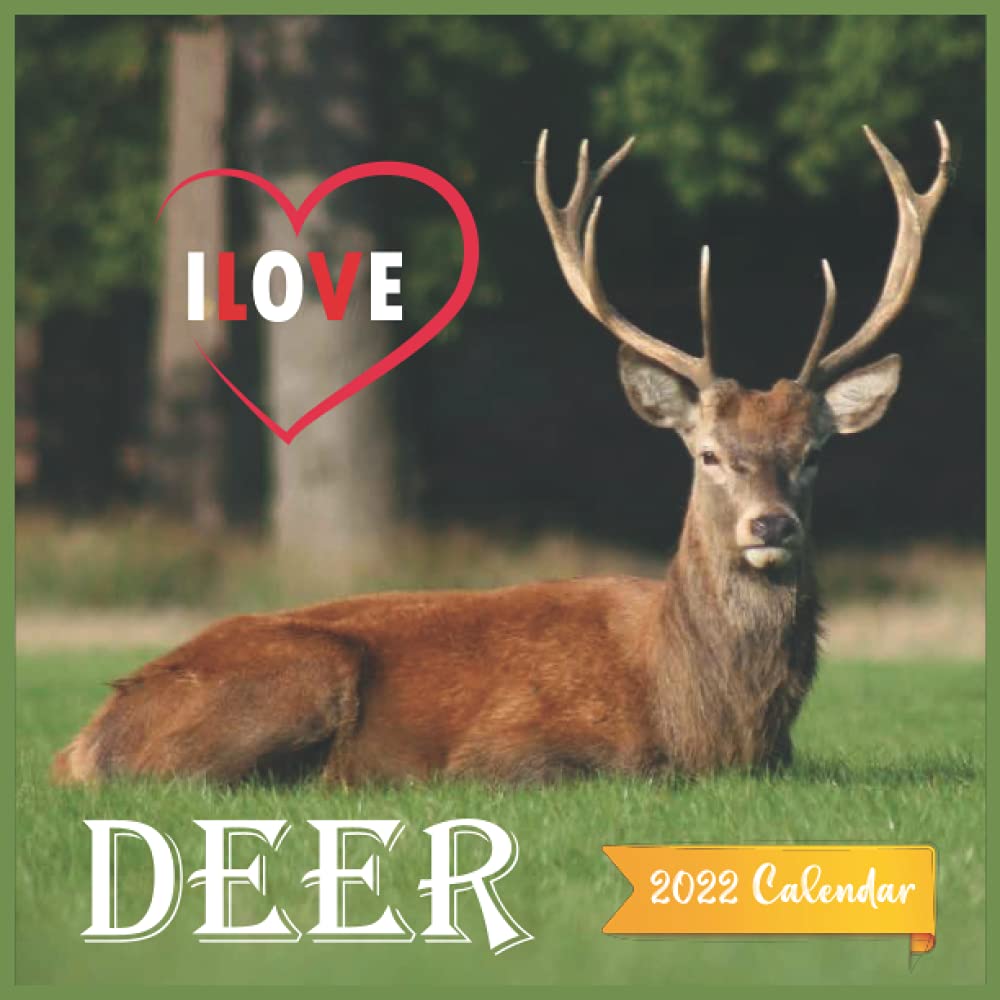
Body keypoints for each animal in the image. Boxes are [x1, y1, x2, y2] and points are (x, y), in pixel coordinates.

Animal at [52, 121, 950, 787]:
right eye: (707, 453)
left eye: (814, 451)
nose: (771, 526)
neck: (709, 721)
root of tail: (81, 742)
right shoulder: (508, 747)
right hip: (301, 671)